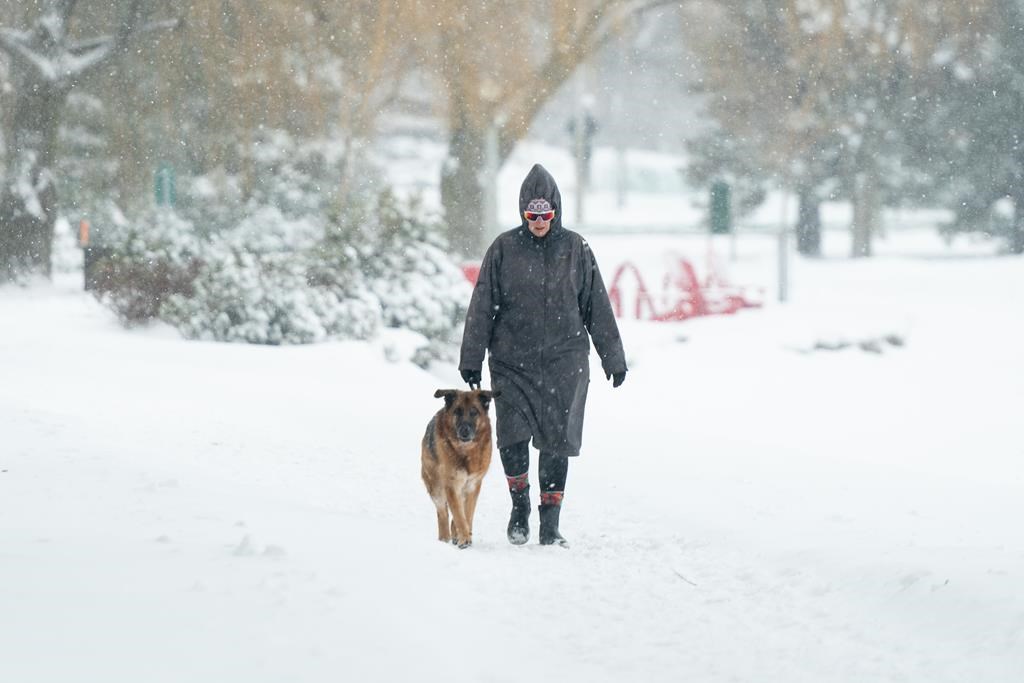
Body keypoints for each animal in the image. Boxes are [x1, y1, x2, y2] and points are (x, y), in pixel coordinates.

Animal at [423, 387, 499, 548]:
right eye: (457, 411)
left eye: (474, 412)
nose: (465, 430)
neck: (466, 451)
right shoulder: (452, 485)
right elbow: (458, 513)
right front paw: (464, 537)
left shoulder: (473, 485)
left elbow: (467, 513)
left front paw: (463, 534)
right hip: (436, 487)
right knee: (443, 513)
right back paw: (445, 538)